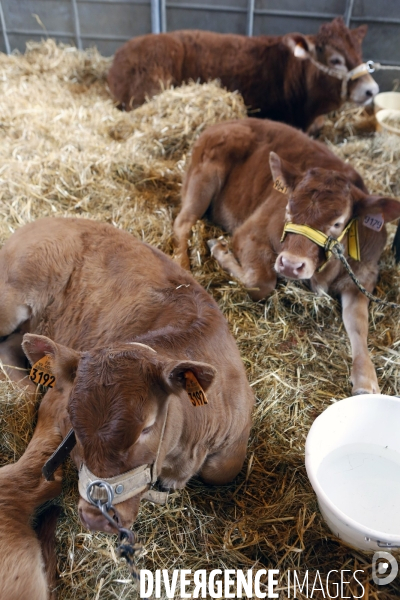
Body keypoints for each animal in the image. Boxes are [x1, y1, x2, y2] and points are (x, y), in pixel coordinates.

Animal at [0, 219, 253, 536]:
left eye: (148, 427)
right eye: (74, 424)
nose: (97, 517)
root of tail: (46, 221)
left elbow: (221, 470)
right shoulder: (57, 402)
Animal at [173, 119, 400, 396]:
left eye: (337, 223)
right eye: (288, 207)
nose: (291, 264)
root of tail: (227, 122)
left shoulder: (364, 275)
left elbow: (358, 322)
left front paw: (366, 379)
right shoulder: (250, 233)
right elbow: (261, 282)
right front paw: (220, 250)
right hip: (203, 177)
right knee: (183, 222)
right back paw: (183, 267)